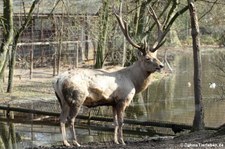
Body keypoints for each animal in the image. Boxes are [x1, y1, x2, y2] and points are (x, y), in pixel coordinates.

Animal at [52, 6, 165, 147]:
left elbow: (115, 122)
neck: (133, 80)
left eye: (156, 56)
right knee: (70, 119)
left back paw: (66, 142)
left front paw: (115, 140)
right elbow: (121, 122)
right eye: (148, 58)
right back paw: (76, 142)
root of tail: (57, 80)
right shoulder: (123, 99)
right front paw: (122, 141)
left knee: (61, 118)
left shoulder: (113, 102)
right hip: (76, 97)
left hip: (62, 100)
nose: (161, 65)